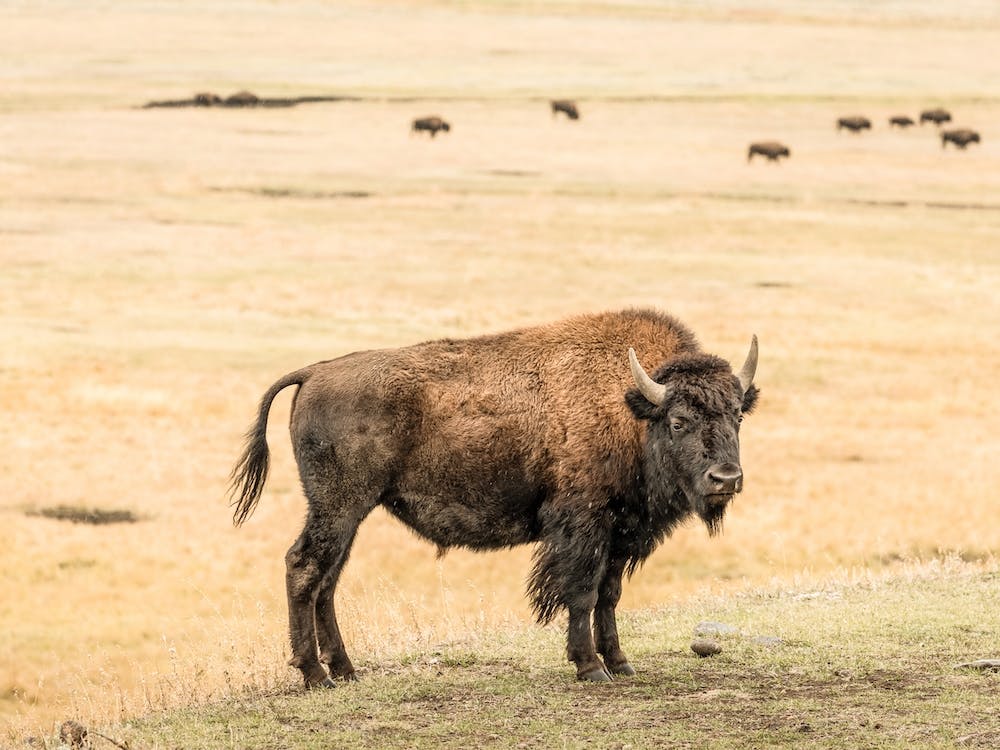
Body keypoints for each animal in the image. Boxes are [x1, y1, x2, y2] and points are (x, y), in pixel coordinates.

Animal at [231, 309, 759, 686]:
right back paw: (315, 676)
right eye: (679, 421)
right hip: (339, 506)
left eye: (737, 415)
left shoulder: (621, 532)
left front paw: (621, 663)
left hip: (348, 513)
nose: (726, 478)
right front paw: (590, 667)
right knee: (304, 568)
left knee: (328, 580)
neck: (631, 406)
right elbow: (582, 592)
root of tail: (313, 373)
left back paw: (345, 670)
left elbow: (609, 594)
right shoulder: (583, 526)